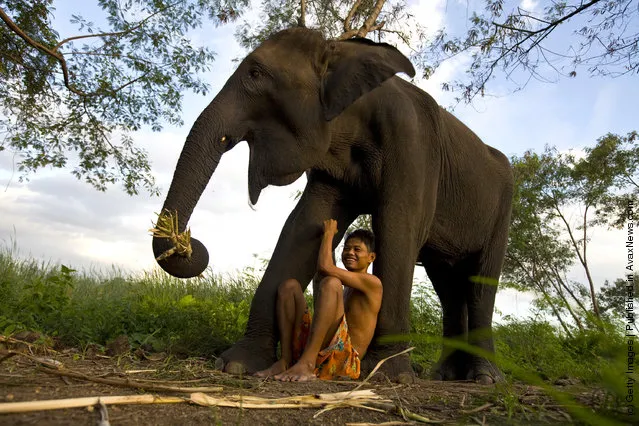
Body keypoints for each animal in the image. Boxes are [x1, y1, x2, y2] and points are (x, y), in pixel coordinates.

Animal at [154, 25, 516, 382]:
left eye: (255, 73)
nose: (190, 246)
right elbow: (303, 226)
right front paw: (238, 365)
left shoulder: (412, 144)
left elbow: (397, 226)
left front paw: (387, 376)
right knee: (448, 286)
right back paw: (447, 376)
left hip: (504, 205)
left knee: (481, 284)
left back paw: (484, 379)